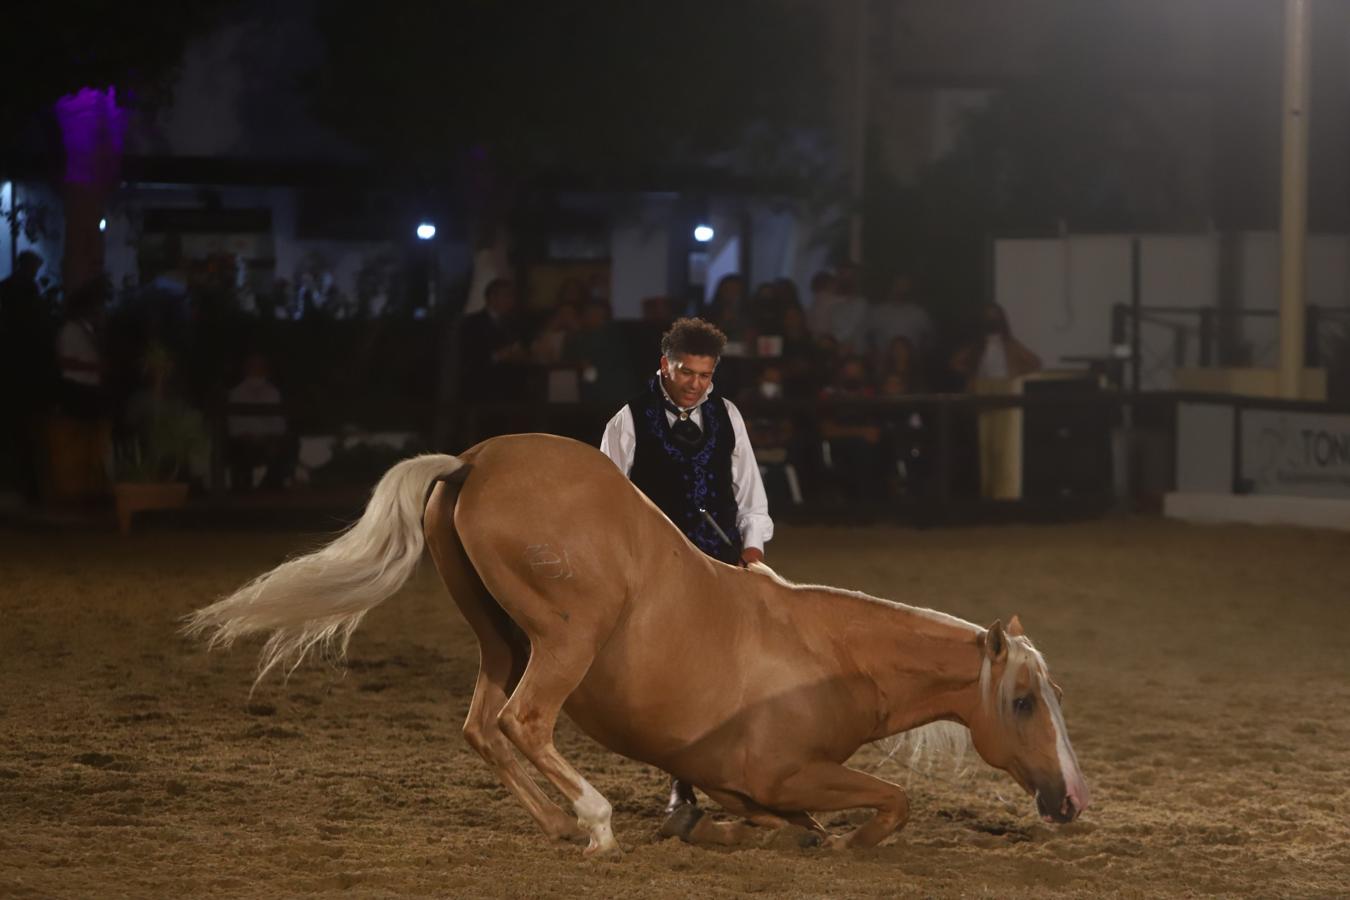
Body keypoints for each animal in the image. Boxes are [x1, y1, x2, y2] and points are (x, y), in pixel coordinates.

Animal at [187, 437, 1085, 858]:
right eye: (1022, 701)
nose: (1072, 799)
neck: (835, 655)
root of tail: (474, 460)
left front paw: (731, 830)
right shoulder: (785, 771)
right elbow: (883, 804)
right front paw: (825, 842)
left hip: (499, 637)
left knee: (484, 727)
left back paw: (559, 824)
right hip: (563, 640)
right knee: (524, 723)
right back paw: (596, 820)